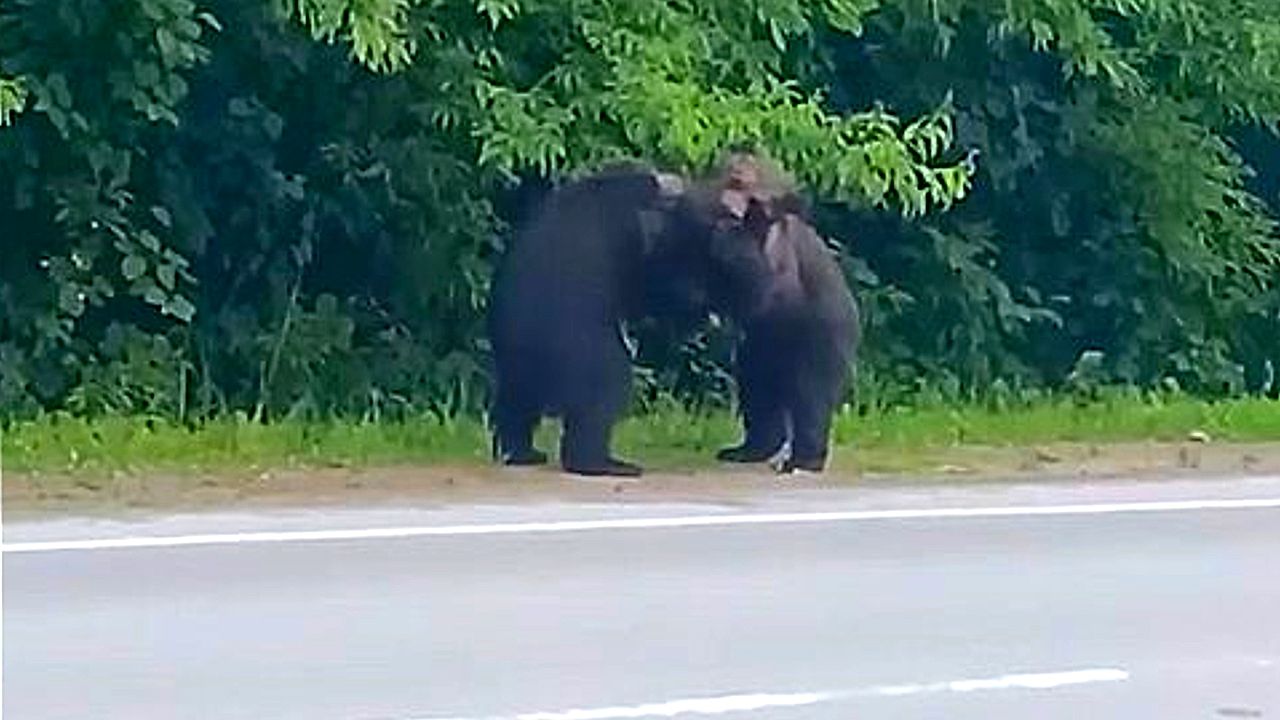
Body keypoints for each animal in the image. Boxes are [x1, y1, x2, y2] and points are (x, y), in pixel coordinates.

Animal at [487, 164, 706, 477]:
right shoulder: (637, 234)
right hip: (576, 344)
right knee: (604, 387)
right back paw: (600, 462)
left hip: (516, 356)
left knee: (516, 399)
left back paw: (520, 451)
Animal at [707, 193, 861, 473]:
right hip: (760, 352)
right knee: (757, 389)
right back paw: (746, 450)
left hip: (819, 338)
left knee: (810, 394)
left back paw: (804, 458)